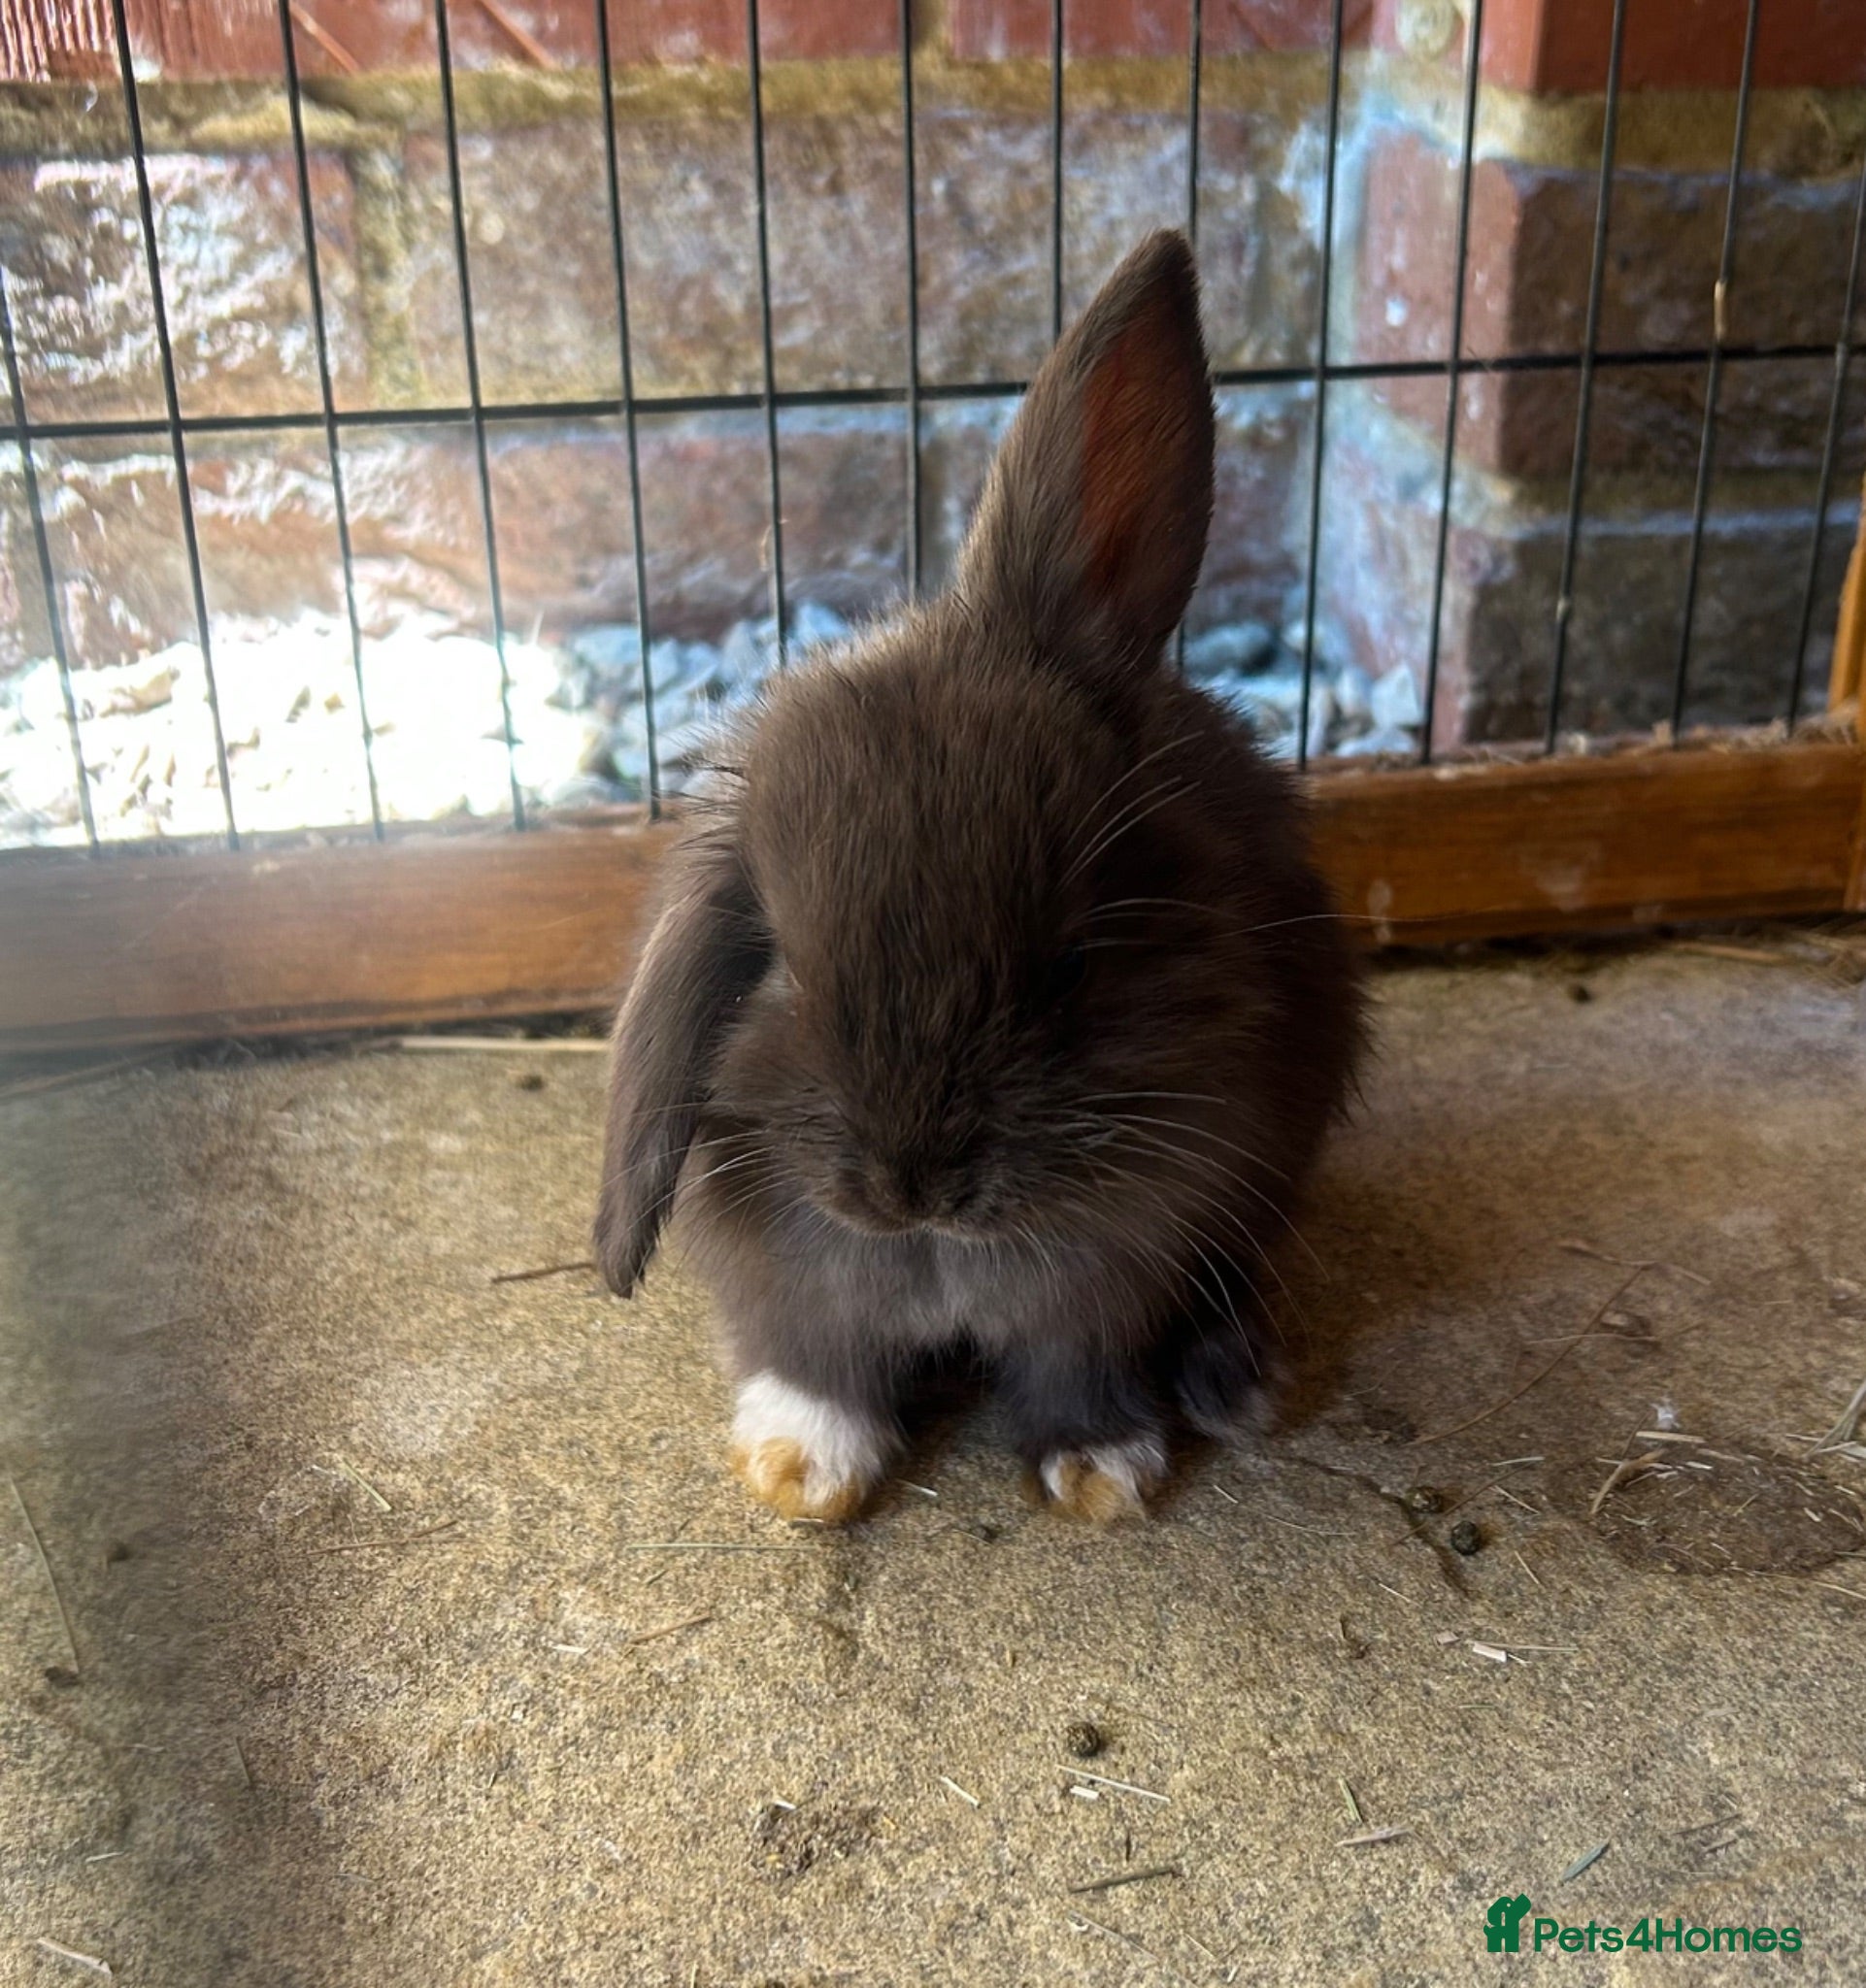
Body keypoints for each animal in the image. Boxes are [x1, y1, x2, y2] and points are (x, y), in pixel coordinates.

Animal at [594, 230, 1365, 1525]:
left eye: (1071, 960)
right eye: (779, 966)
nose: (910, 1187)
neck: (935, 1257)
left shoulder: (1119, 1269)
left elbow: (1075, 1366)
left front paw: (1101, 1472)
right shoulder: (795, 1296)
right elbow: (817, 1364)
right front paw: (799, 1471)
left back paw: (1237, 1384)